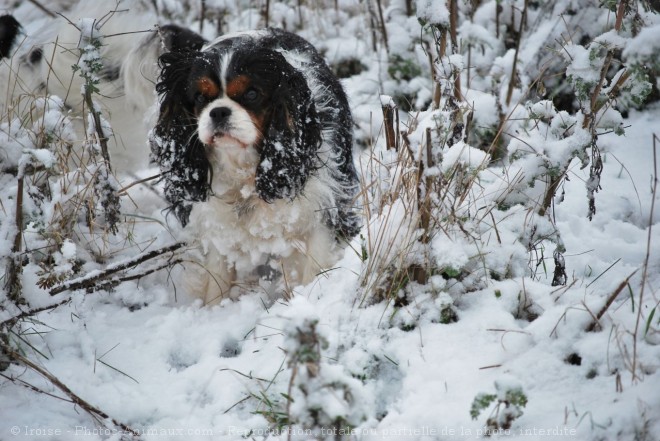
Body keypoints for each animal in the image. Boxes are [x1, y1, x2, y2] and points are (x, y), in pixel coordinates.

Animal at [150, 27, 364, 302]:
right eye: (199, 97)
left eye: (252, 94)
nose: (218, 111)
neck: (245, 168)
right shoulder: (215, 222)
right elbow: (216, 278)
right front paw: (213, 307)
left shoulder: (323, 209)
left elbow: (315, 266)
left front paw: (309, 298)